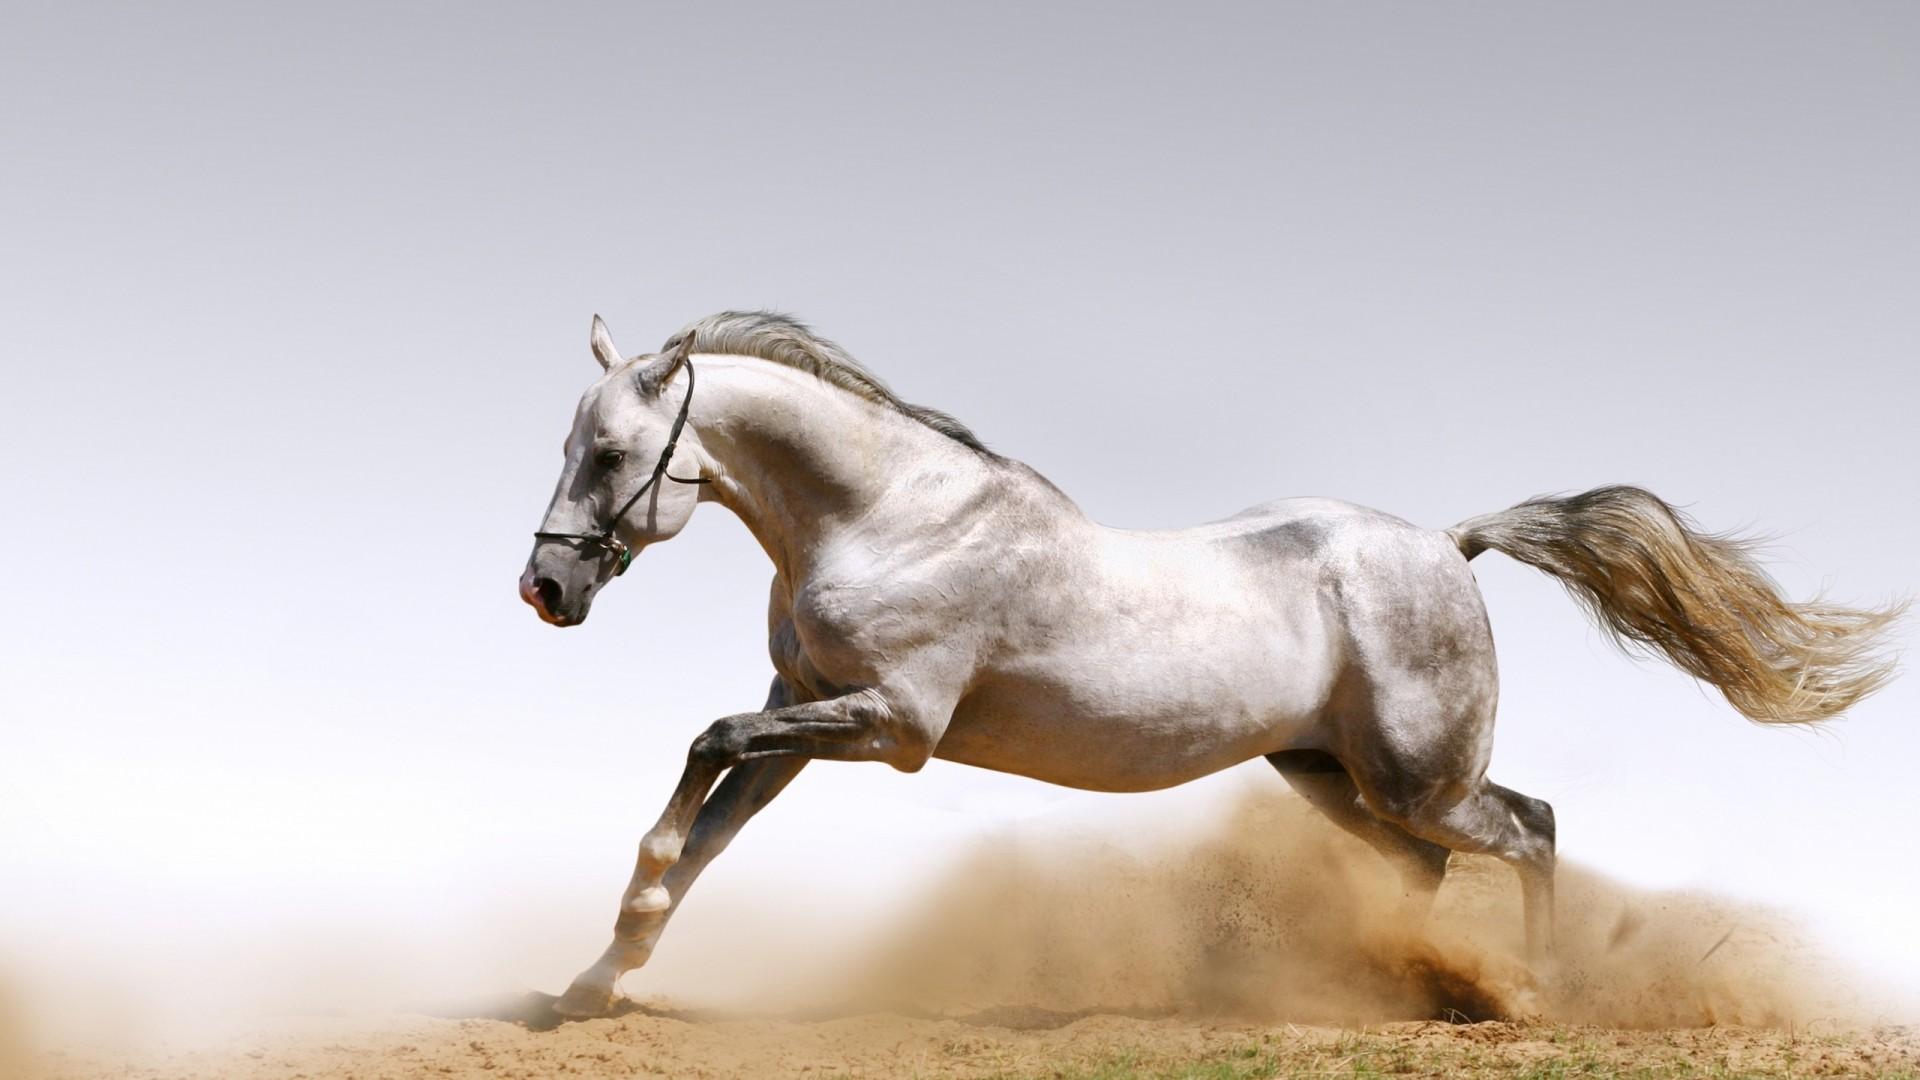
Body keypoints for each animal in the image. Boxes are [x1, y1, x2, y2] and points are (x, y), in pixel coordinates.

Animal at [519, 311, 1902, 1018]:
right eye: (574, 445)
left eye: (611, 454)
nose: (545, 590)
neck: (890, 517)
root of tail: (1450, 545)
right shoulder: (805, 706)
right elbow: (710, 829)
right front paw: (594, 980)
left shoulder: (890, 725)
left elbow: (700, 755)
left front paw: (614, 939)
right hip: (1326, 774)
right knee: (1427, 867)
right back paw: (1394, 988)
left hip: (1420, 776)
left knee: (1532, 828)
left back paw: (1534, 995)